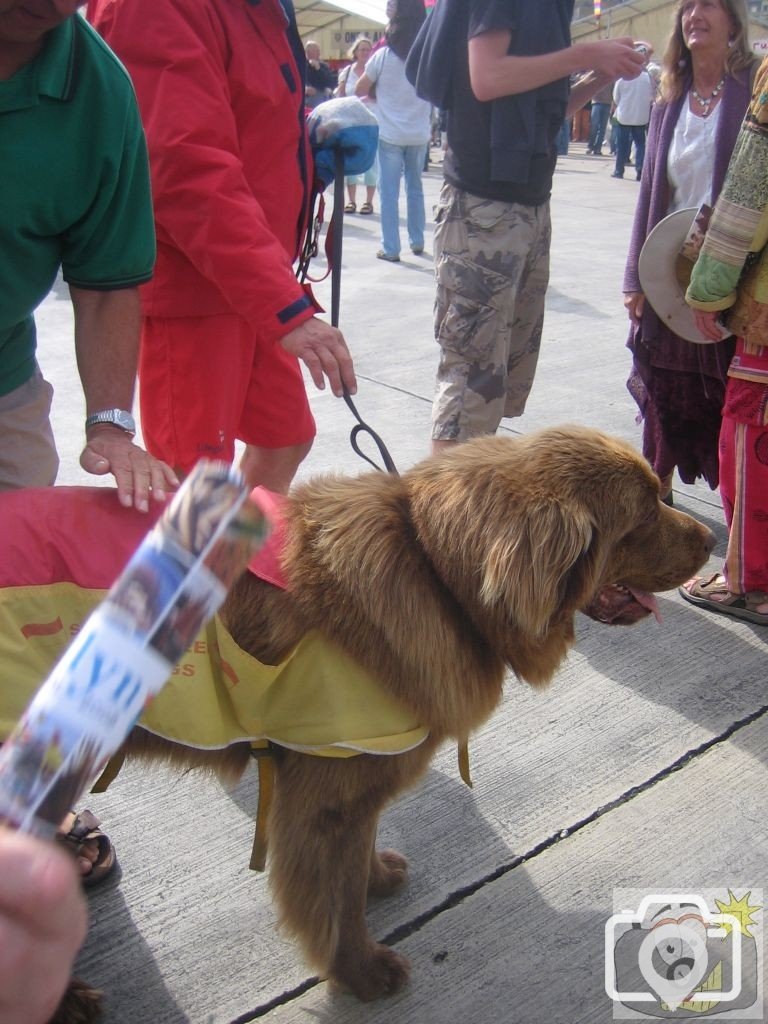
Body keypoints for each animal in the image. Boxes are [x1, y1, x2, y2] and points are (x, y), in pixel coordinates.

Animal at [3, 421, 720, 1007]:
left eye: (659, 494)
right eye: (643, 514)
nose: (714, 538)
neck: (435, 572)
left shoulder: (364, 770)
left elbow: (357, 861)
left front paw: (376, 877)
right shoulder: (326, 794)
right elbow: (335, 898)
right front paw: (359, 970)